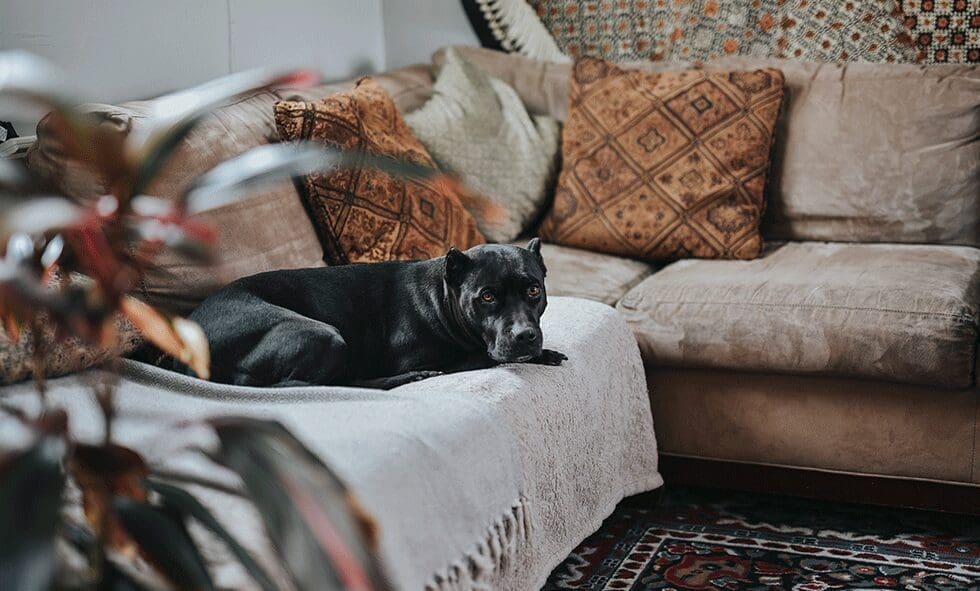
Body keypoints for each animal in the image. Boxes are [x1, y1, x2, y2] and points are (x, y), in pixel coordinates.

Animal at [186, 238, 568, 390]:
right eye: (487, 296)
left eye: (534, 290)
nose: (525, 336)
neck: (442, 298)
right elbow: (482, 356)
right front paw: (541, 354)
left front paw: (543, 351)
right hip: (321, 334)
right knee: (323, 384)